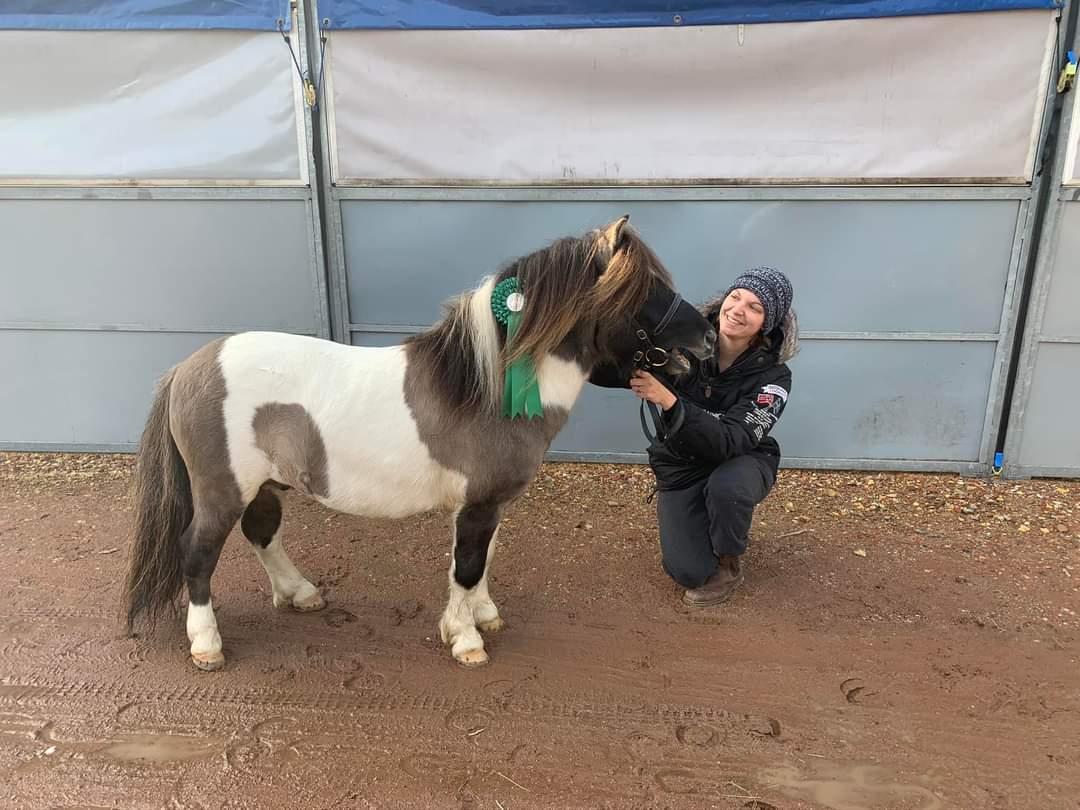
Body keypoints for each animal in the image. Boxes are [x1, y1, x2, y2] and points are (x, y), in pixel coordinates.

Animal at [122, 216, 717, 673]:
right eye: (646, 292)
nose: (709, 337)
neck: (485, 388)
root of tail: (186, 369)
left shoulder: (487, 505)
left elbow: (479, 561)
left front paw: (482, 616)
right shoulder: (477, 504)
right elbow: (468, 565)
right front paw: (465, 639)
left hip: (265, 484)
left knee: (262, 534)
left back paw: (301, 594)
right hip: (221, 490)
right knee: (197, 553)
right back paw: (207, 644)